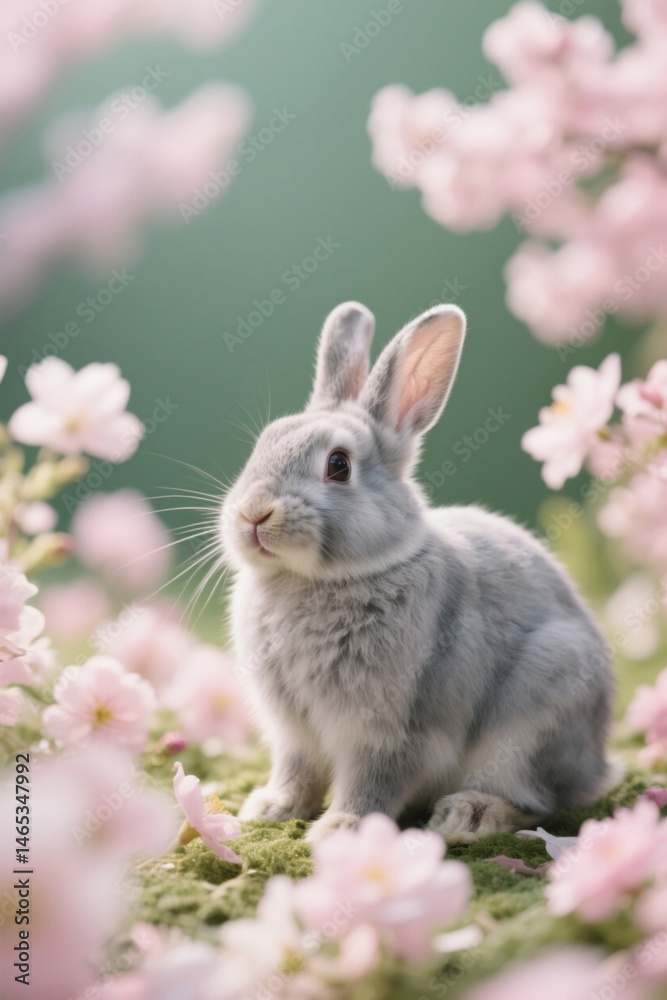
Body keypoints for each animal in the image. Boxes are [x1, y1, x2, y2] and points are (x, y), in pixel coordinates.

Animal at [221, 301, 615, 844]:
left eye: (338, 465)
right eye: (262, 445)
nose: (254, 514)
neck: (314, 581)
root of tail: (597, 766)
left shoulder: (391, 729)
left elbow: (373, 781)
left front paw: (341, 829)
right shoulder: (293, 733)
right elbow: (296, 771)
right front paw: (269, 809)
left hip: (535, 715)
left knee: (539, 802)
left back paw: (469, 815)